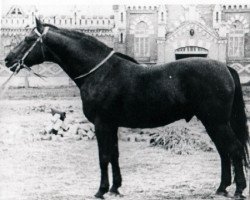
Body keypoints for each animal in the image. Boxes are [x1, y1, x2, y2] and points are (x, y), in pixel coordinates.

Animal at [4, 18, 249, 198]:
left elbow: (104, 156)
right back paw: (221, 188)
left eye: (28, 39)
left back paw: (238, 190)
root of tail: (226, 68)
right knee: (224, 151)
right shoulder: (111, 125)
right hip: (212, 122)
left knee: (234, 149)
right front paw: (115, 188)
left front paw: (101, 191)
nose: (8, 60)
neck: (99, 72)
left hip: (216, 122)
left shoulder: (102, 124)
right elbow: (114, 154)